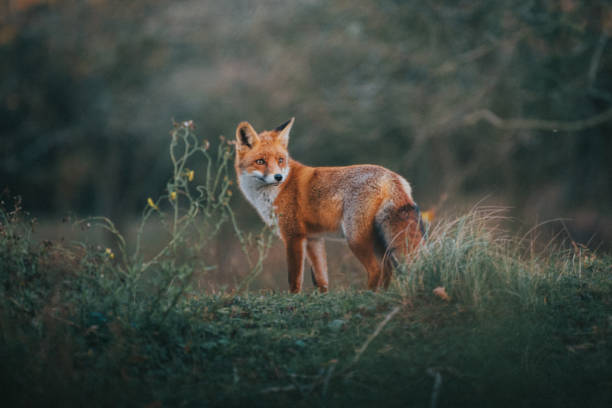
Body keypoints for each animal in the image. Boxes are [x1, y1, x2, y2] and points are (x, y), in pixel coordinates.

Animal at [235, 118, 426, 294]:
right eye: (260, 161)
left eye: (280, 160)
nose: (278, 177)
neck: (276, 191)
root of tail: (392, 177)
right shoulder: (314, 239)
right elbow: (321, 279)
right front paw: (321, 298)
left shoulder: (293, 236)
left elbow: (294, 279)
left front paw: (293, 298)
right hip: (378, 239)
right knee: (387, 267)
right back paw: (381, 294)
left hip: (356, 239)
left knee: (376, 269)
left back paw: (367, 295)